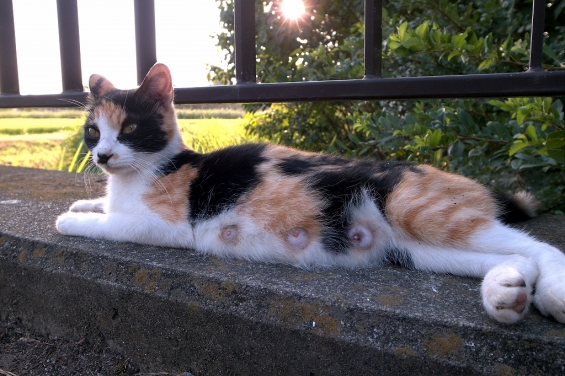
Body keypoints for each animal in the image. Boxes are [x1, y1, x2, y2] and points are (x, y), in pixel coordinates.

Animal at [58, 63, 564, 324]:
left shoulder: (167, 225)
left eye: (129, 129)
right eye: (92, 131)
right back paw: (506, 294)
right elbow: (105, 205)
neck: (147, 169)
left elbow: (114, 224)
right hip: (419, 250)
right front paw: (85, 201)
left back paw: (550, 295)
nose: (102, 155)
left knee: (542, 247)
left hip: (416, 207)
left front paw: (71, 218)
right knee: (514, 256)